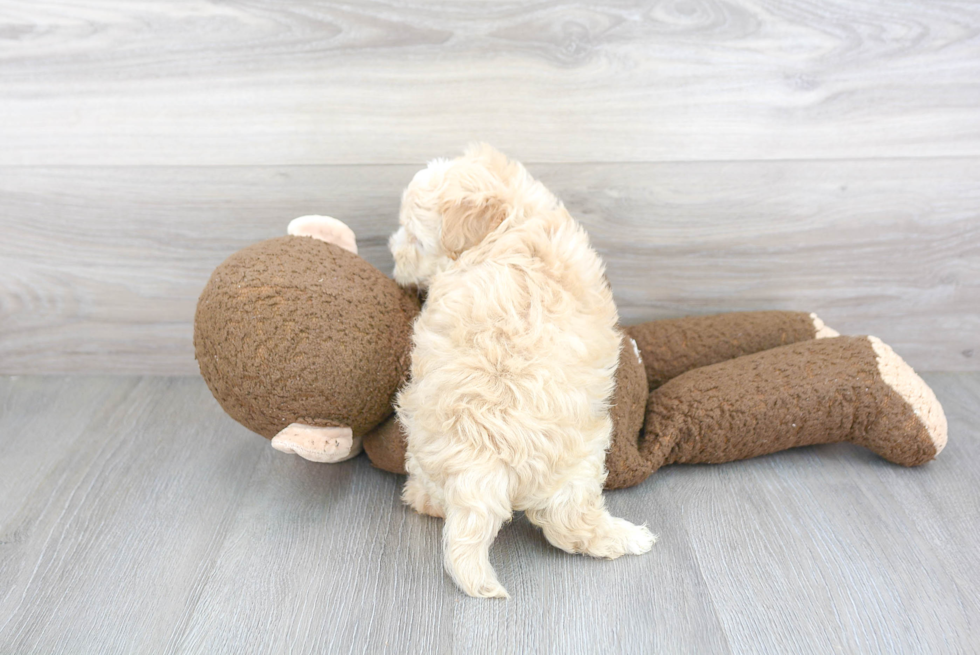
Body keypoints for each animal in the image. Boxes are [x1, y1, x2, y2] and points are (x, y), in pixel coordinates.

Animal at [386, 145, 656, 600]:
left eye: (414, 238)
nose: (392, 257)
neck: (514, 220)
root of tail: (486, 455)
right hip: (583, 459)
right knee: (572, 524)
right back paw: (630, 538)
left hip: (424, 438)